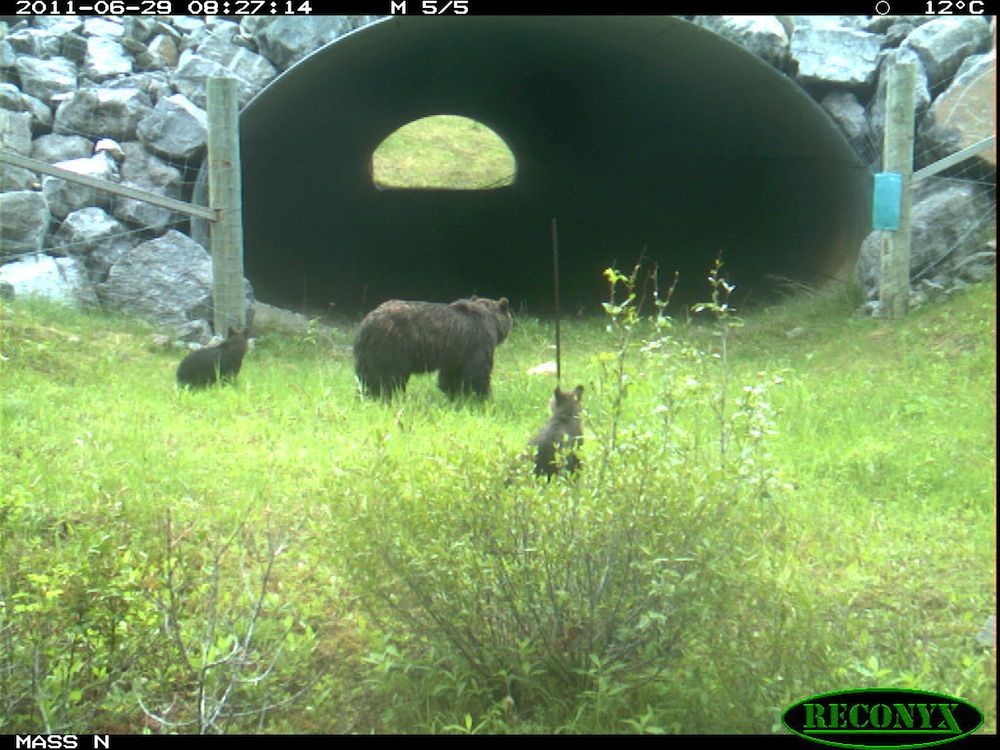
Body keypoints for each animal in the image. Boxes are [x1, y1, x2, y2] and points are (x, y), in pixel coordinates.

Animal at [354, 296, 512, 400]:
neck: (492, 321)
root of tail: (367, 322)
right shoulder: (478, 343)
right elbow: (478, 372)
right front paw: (484, 397)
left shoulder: (456, 352)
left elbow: (450, 375)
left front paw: (455, 394)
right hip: (393, 348)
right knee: (390, 379)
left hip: (369, 354)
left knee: (367, 378)